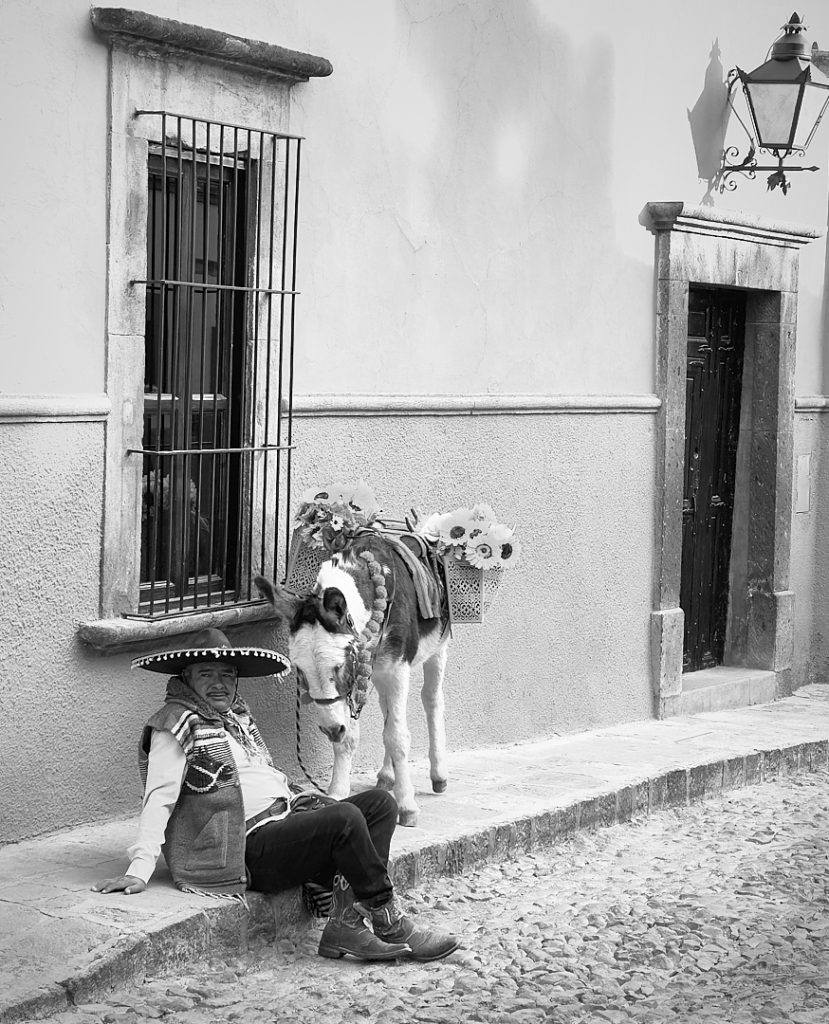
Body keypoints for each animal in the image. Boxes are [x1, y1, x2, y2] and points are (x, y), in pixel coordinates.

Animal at [254, 531, 450, 826]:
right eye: (300, 669)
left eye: (338, 666)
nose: (330, 730)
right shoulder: (361, 676)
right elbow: (353, 737)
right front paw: (336, 794)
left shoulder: (397, 670)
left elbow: (398, 736)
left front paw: (407, 805)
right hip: (379, 672)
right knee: (386, 712)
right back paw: (387, 776)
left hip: (437, 649)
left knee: (431, 700)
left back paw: (438, 774)